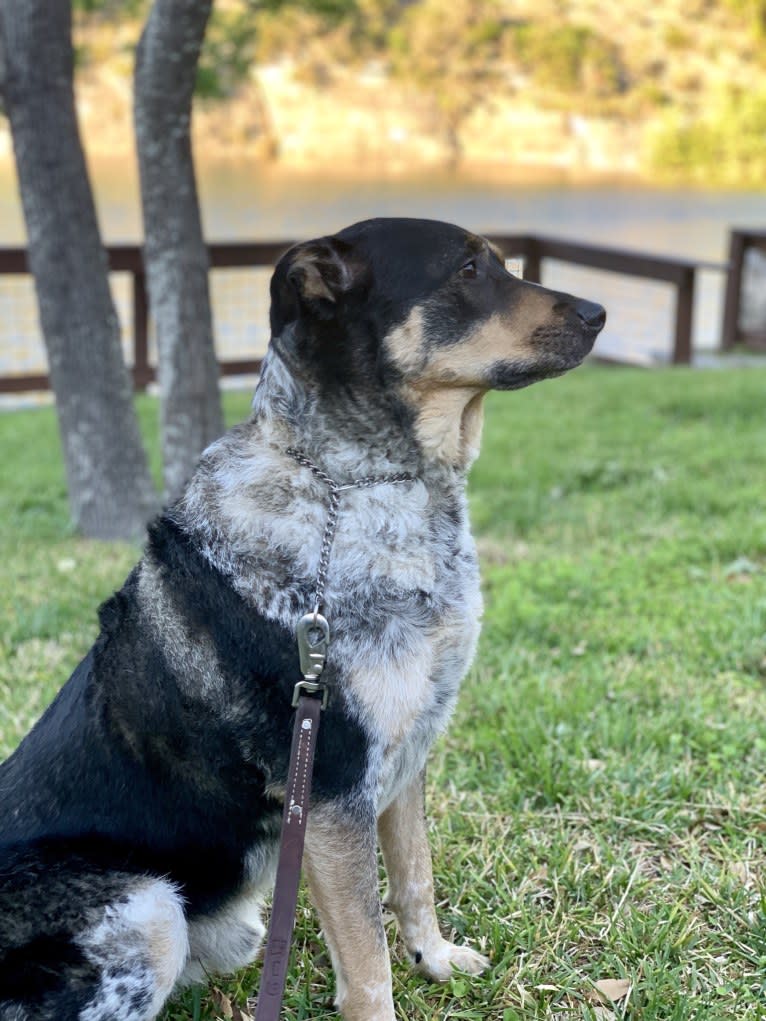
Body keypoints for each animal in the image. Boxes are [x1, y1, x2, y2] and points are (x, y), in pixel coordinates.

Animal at [0, 217, 604, 1021]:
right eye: (469, 270)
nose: (600, 313)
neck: (361, 484)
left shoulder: (404, 753)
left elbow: (415, 877)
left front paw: (436, 959)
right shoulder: (332, 789)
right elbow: (369, 964)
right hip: (152, 913)